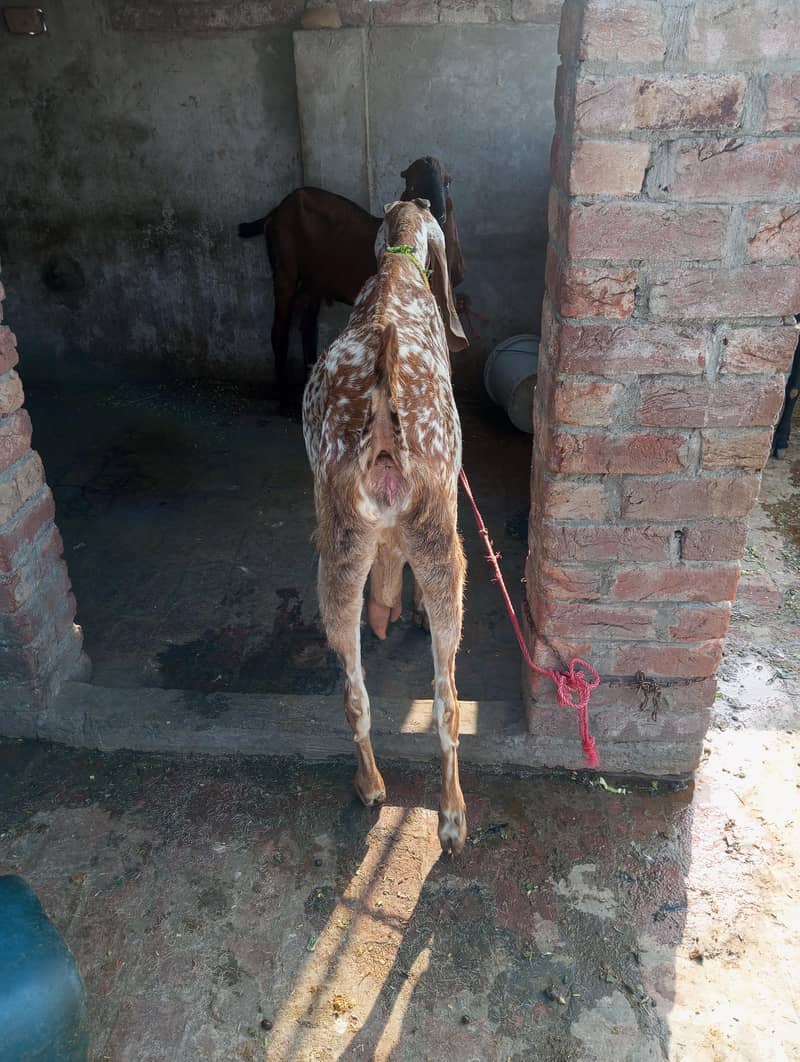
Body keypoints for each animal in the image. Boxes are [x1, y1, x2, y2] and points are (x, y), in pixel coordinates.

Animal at [239, 157, 464, 415]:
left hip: (313, 281)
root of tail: (276, 211)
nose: (438, 213)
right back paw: (284, 402)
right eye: (411, 183)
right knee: (280, 331)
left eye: (447, 182)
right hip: (285, 268)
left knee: (307, 328)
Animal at [302, 198, 469, 854]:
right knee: (447, 703)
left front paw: (390, 605)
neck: (398, 263)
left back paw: (373, 786)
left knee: (356, 694)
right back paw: (452, 816)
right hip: (445, 546)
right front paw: (407, 608)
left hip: (341, 549)